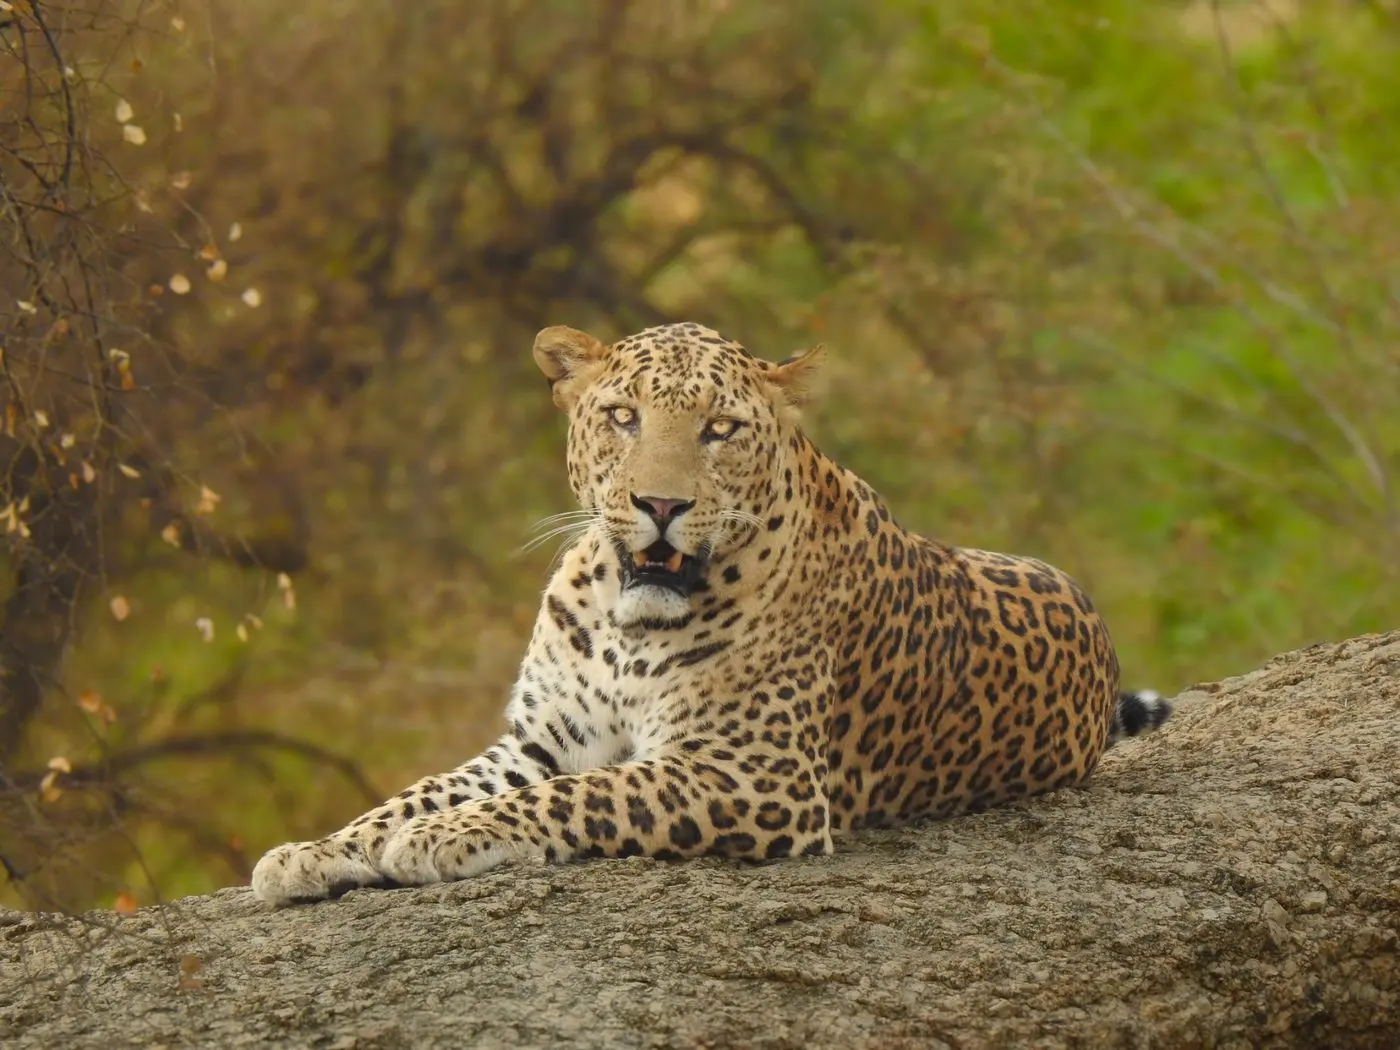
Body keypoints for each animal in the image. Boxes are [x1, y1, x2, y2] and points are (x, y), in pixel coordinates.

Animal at [251, 321, 1172, 906]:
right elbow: (412, 794)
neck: (624, 624)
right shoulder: (538, 742)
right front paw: (315, 852)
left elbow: (588, 794)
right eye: (623, 417)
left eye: (721, 429)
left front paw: (447, 837)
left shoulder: (756, 773)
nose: (660, 505)